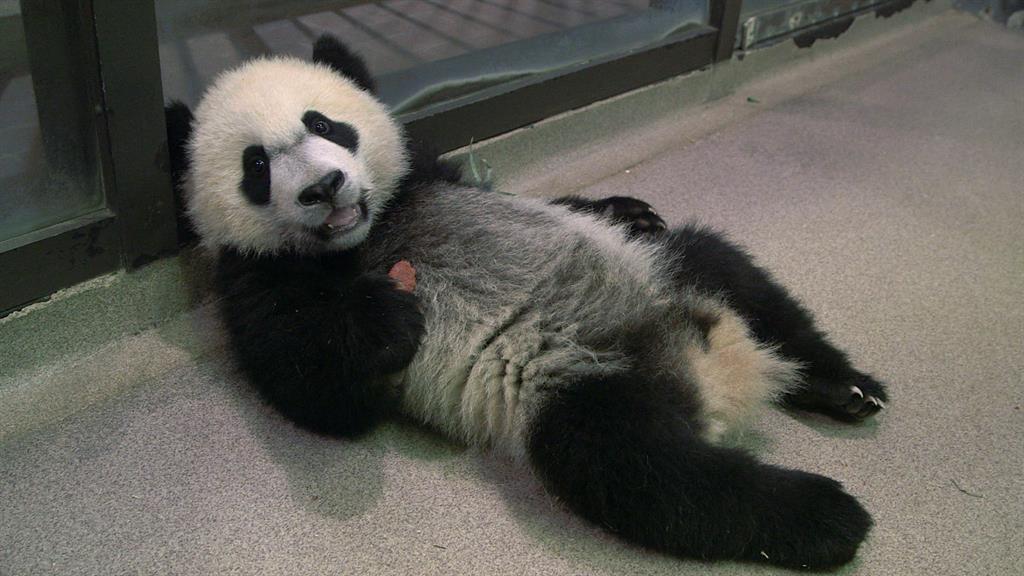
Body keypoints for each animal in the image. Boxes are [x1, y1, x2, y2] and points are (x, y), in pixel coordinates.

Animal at [166, 34, 887, 570]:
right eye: (256, 166)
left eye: (325, 124)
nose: (325, 186)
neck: (364, 236)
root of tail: (715, 372)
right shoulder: (257, 280)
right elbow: (322, 395)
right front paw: (386, 318)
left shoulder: (425, 174)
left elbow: (527, 198)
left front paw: (622, 206)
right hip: (579, 393)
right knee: (648, 471)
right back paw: (825, 516)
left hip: (663, 273)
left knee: (729, 272)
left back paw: (844, 386)